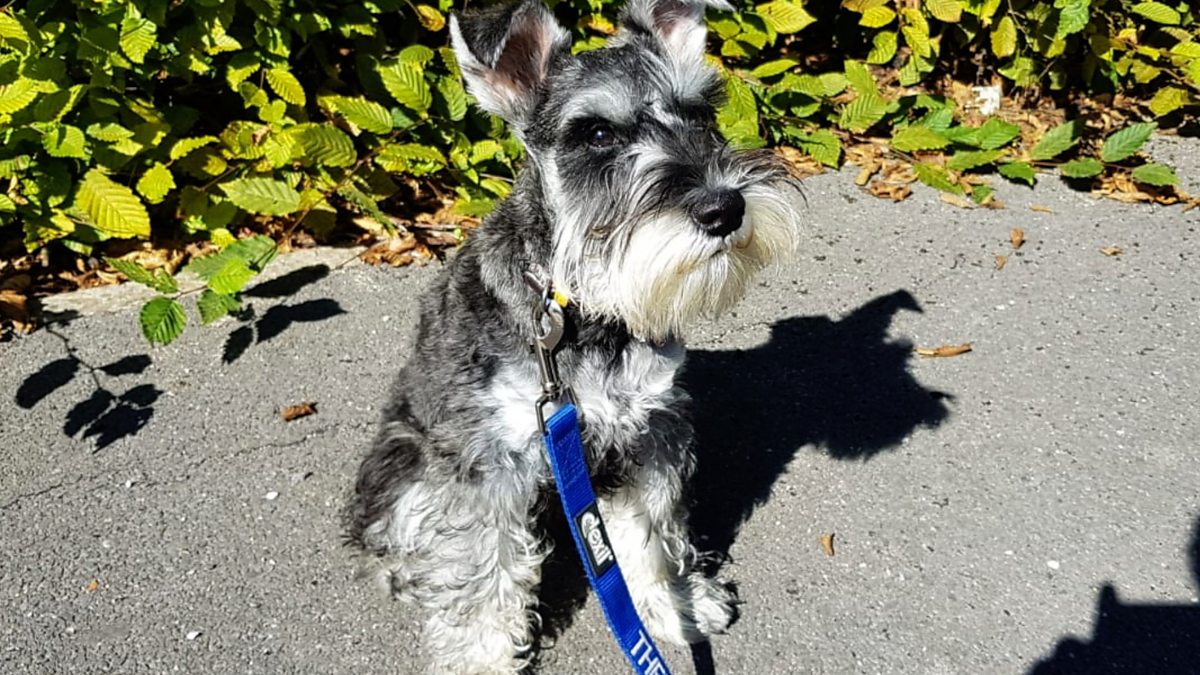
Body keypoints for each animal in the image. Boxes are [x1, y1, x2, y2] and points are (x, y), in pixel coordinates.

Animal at [345, 0, 796, 667]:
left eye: (700, 113)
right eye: (598, 134)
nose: (724, 209)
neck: (579, 312)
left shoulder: (647, 433)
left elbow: (650, 535)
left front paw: (673, 604)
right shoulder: (488, 461)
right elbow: (482, 568)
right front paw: (483, 659)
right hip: (406, 459)